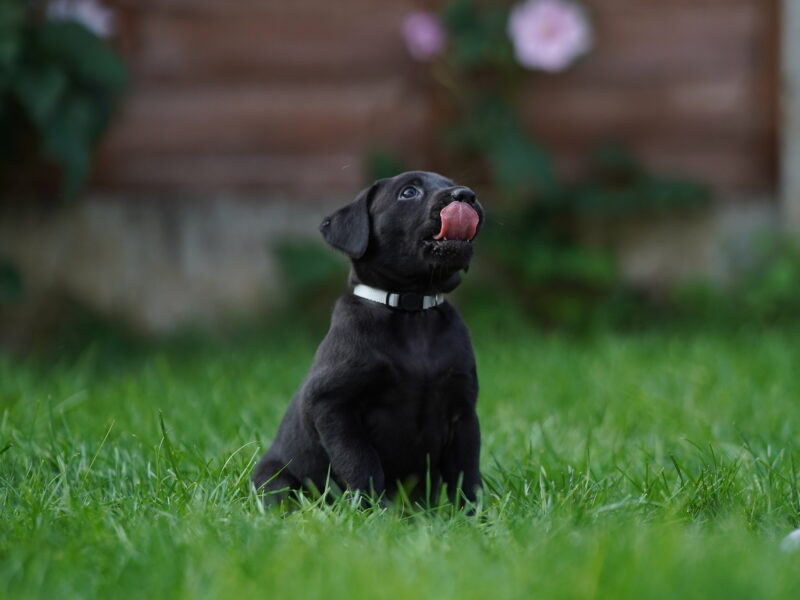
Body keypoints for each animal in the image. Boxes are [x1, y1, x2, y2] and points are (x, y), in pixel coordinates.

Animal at [253, 171, 484, 504]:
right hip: (274, 477)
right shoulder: (333, 405)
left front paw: (473, 513)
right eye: (408, 192)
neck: (412, 311)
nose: (465, 195)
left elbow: (467, 472)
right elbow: (361, 463)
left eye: (451, 183)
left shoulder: (463, 411)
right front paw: (375, 509)